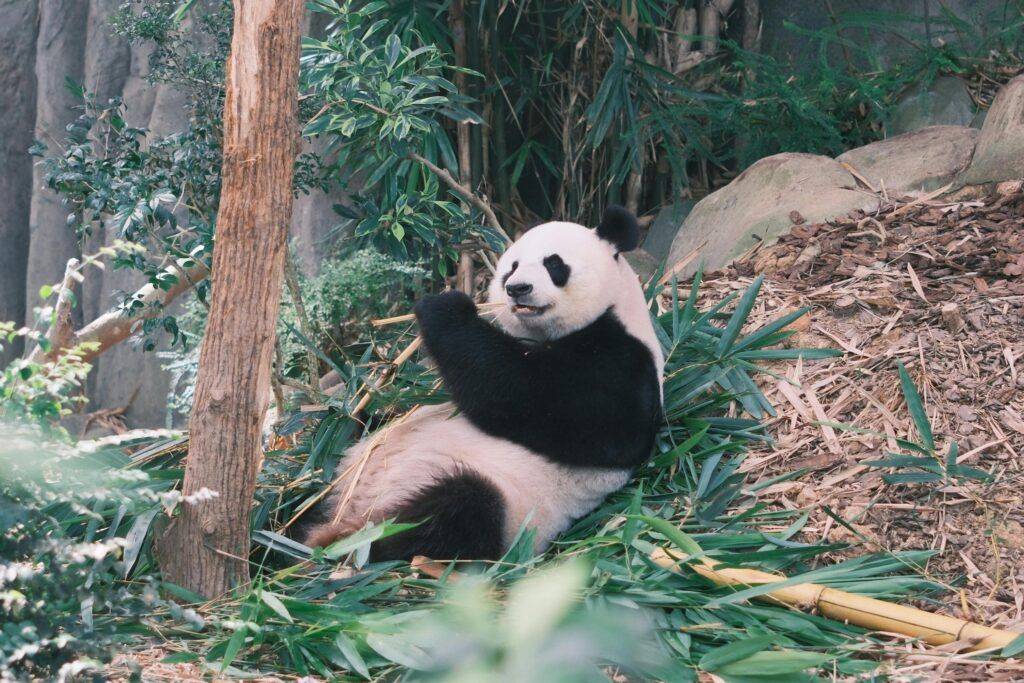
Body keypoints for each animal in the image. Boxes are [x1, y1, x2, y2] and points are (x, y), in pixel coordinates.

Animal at [304, 206, 664, 561]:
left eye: (554, 264)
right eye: (512, 267)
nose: (517, 288)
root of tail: (352, 510)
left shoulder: (623, 363)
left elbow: (526, 395)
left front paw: (445, 306)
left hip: (503, 501)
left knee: (453, 512)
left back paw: (337, 546)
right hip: (339, 469)